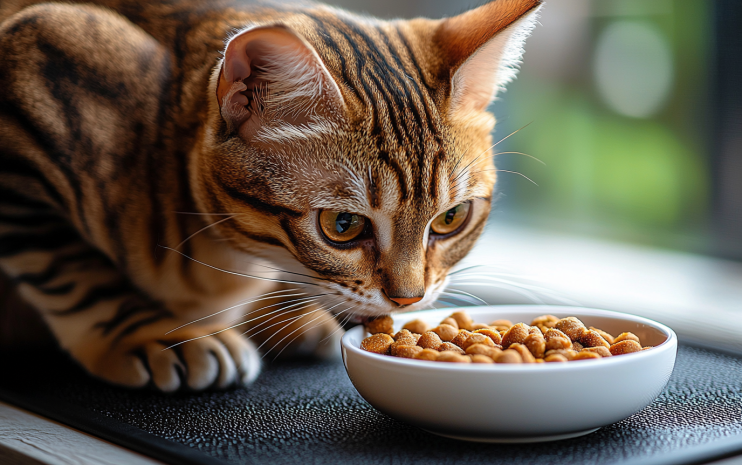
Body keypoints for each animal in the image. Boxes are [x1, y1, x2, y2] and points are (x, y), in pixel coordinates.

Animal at [0, 0, 544, 390]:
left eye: (451, 218)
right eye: (343, 226)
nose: (409, 298)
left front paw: (287, 314)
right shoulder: (36, 59)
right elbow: (73, 272)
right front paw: (155, 335)